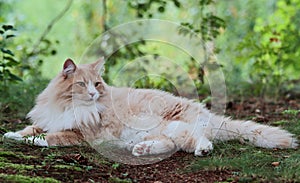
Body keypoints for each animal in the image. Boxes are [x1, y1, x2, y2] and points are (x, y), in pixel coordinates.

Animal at [3, 58, 298, 156]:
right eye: (82, 84)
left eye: (96, 84)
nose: (93, 93)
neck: (66, 106)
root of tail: (207, 112)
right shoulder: (49, 119)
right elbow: (31, 129)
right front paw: (12, 135)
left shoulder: (78, 134)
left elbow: (49, 137)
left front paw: (32, 140)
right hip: (159, 132)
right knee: (173, 144)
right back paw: (142, 150)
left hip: (177, 125)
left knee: (200, 140)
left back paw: (202, 150)